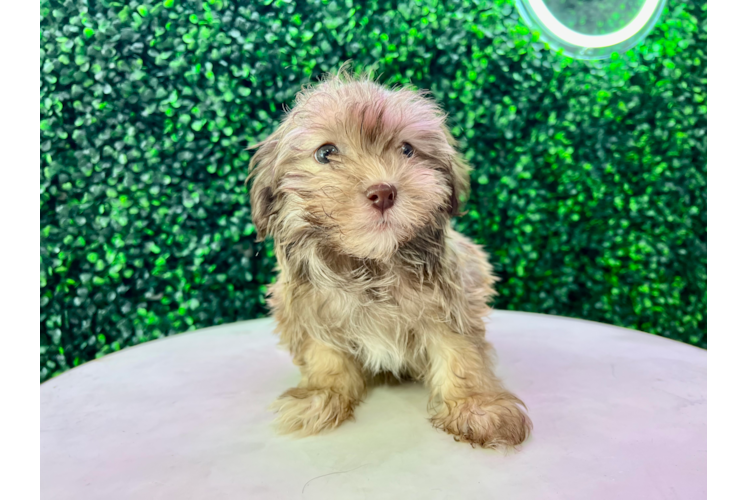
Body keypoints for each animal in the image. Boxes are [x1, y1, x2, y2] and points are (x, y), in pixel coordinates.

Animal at [247, 68, 532, 448]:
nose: (383, 192)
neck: (371, 264)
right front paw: (322, 396)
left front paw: (477, 407)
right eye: (325, 153)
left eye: (407, 149)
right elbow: (325, 355)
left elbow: (460, 352)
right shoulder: (307, 307)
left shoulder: (452, 300)